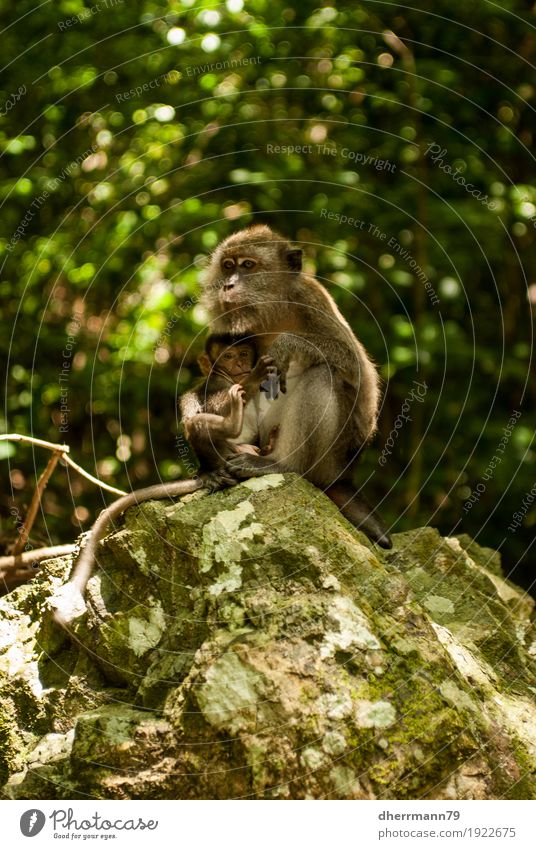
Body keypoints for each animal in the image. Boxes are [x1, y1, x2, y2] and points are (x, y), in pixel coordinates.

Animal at [203, 224, 392, 548]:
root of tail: (344, 477)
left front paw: (285, 344)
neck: (275, 309)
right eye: (227, 266)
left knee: (323, 373)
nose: (227, 285)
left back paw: (283, 465)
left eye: (248, 265)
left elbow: (355, 368)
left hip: (332, 457)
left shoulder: (311, 299)